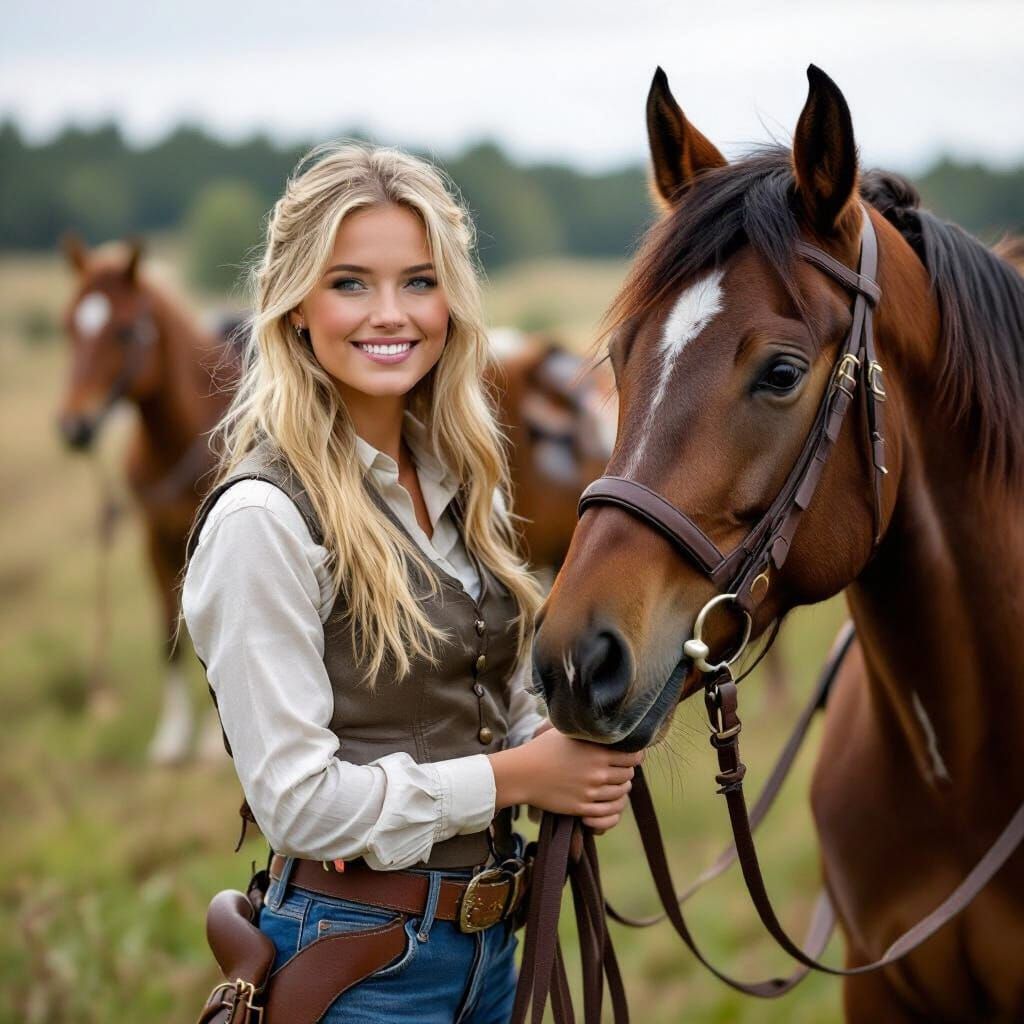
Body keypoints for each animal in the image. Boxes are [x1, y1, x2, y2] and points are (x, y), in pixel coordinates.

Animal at [58, 236, 241, 764]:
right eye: (67, 326)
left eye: (123, 332)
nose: (74, 427)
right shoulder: (155, 539)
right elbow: (168, 634)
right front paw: (172, 737)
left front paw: (208, 743)